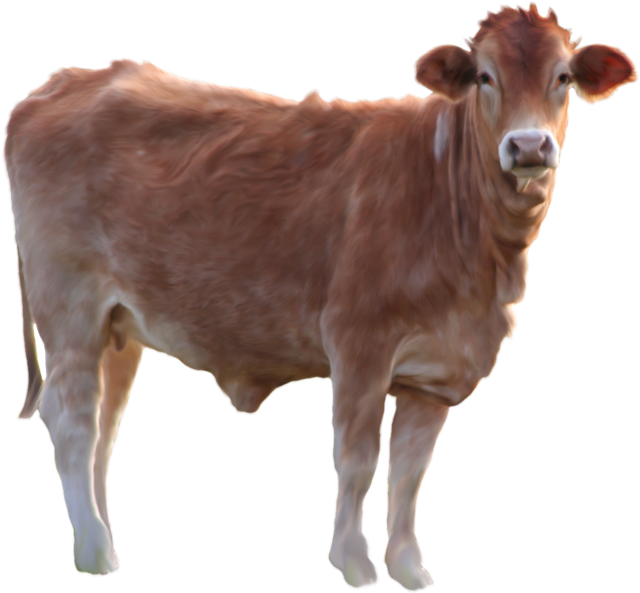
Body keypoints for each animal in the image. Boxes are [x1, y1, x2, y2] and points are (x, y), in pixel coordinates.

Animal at [5, 2, 637, 590]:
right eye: (485, 76)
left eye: (562, 76)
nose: (528, 147)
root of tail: (64, 82)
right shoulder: (359, 342)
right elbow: (357, 461)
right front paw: (354, 562)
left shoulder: (435, 371)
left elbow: (410, 473)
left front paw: (409, 568)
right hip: (71, 309)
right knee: (73, 423)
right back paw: (93, 552)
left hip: (118, 328)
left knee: (102, 431)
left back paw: (104, 545)